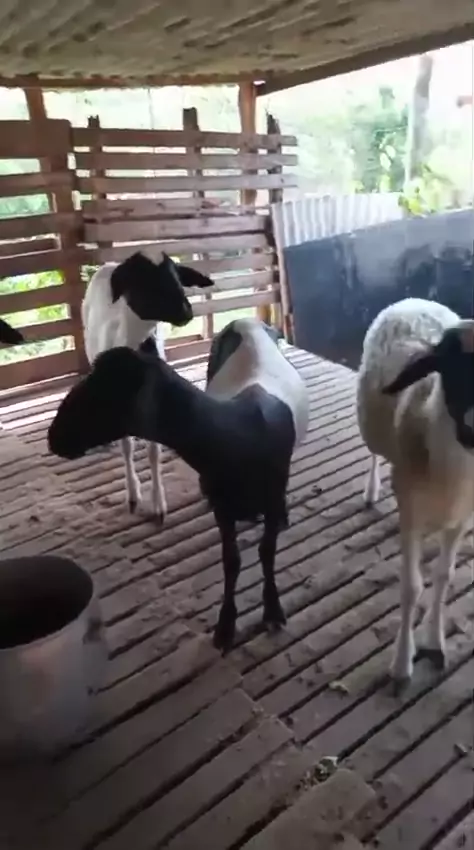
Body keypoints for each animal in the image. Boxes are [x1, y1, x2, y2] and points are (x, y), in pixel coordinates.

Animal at [47, 317, 309, 651]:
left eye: (106, 394)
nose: (54, 437)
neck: (239, 434)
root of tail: (245, 319)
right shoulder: (223, 507)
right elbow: (231, 561)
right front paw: (225, 626)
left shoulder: (271, 497)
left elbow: (266, 553)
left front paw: (273, 611)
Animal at [81, 250, 213, 521]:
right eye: (144, 279)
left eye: (177, 275)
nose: (186, 311)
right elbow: (127, 448)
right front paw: (133, 495)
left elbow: (154, 452)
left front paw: (158, 504)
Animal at [356, 297, 474, 693]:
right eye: (447, 366)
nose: (473, 429)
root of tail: (412, 299)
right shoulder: (410, 515)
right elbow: (411, 588)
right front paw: (401, 663)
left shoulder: (461, 521)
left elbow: (444, 576)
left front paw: (434, 642)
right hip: (374, 431)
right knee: (375, 453)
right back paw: (371, 490)